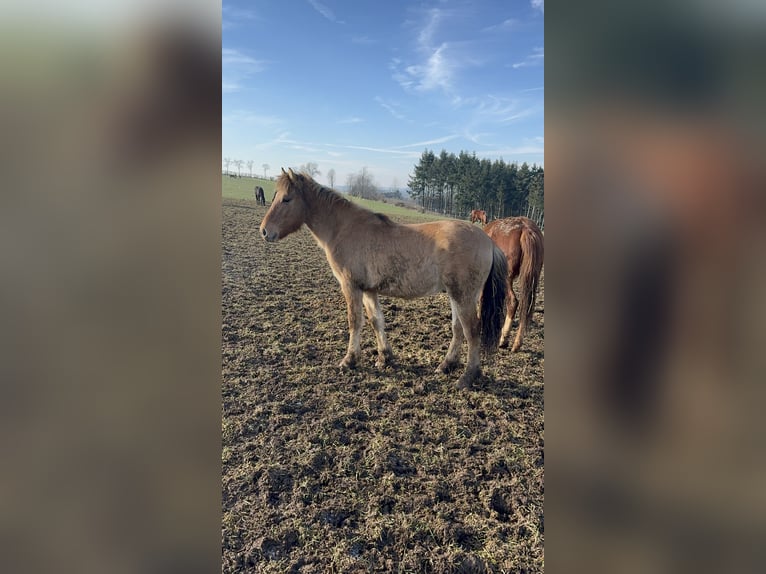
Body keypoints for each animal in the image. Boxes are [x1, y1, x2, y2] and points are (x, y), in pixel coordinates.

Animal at [260, 169, 510, 390]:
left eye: (286, 199)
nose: (264, 231)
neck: (343, 228)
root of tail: (488, 241)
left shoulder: (351, 287)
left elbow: (355, 321)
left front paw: (349, 360)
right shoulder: (369, 290)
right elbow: (376, 321)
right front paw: (384, 357)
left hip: (464, 296)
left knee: (472, 331)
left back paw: (468, 377)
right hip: (455, 295)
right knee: (458, 329)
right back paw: (446, 365)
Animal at [484, 216, 544, 352]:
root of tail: (526, 229)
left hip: (507, 278)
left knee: (512, 302)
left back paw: (503, 340)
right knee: (526, 306)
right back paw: (517, 343)